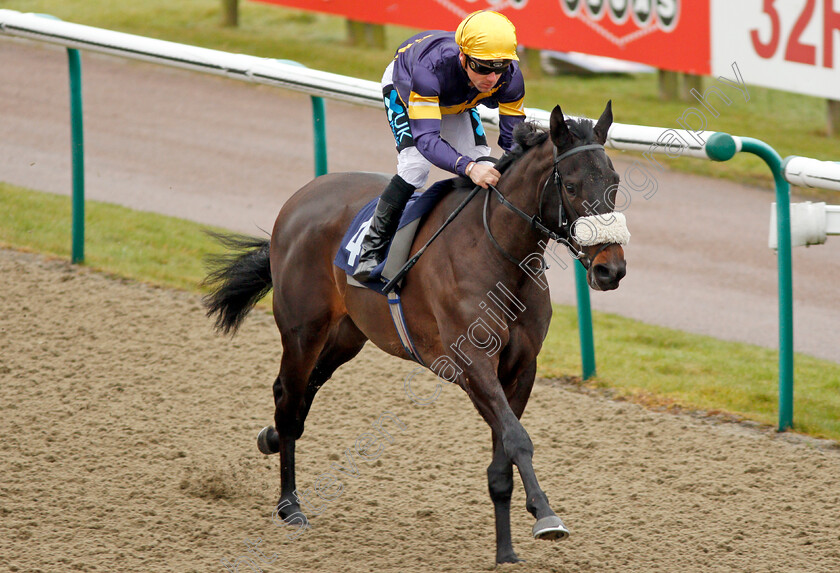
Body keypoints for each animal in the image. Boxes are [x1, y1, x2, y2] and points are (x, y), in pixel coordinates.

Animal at [202, 103, 624, 564]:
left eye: (615, 182)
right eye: (571, 185)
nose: (611, 268)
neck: (497, 253)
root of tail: (300, 198)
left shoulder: (520, 368)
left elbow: (502, 458)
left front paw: (506, 552)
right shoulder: (474, 366)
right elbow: (517, 439)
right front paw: (546, 515)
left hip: (347, 335)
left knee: (298, 394)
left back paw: (272, 439)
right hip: (302, 330)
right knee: (290, 398)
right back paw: (290, 504)